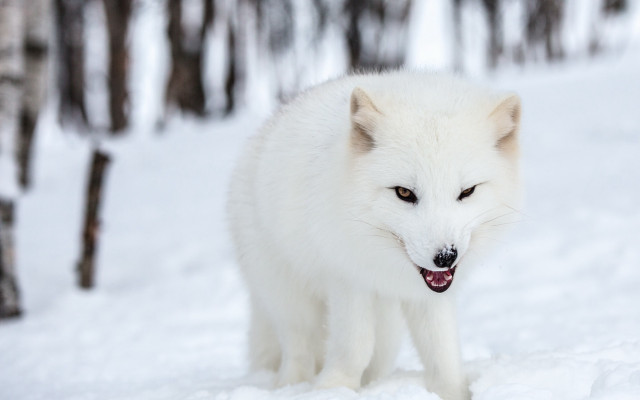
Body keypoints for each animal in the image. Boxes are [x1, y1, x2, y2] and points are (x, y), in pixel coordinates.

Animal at [227, 70, 521, 400]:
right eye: (404, 193)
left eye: (467, 191)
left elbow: (442, 352)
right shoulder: (348, 279)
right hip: (290, 298)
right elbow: (354, 347)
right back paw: (291, 386)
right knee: (298, 348)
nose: (445, 257)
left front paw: (452, 393)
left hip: (386, 328)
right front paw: (333, 388)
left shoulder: (428, 297)